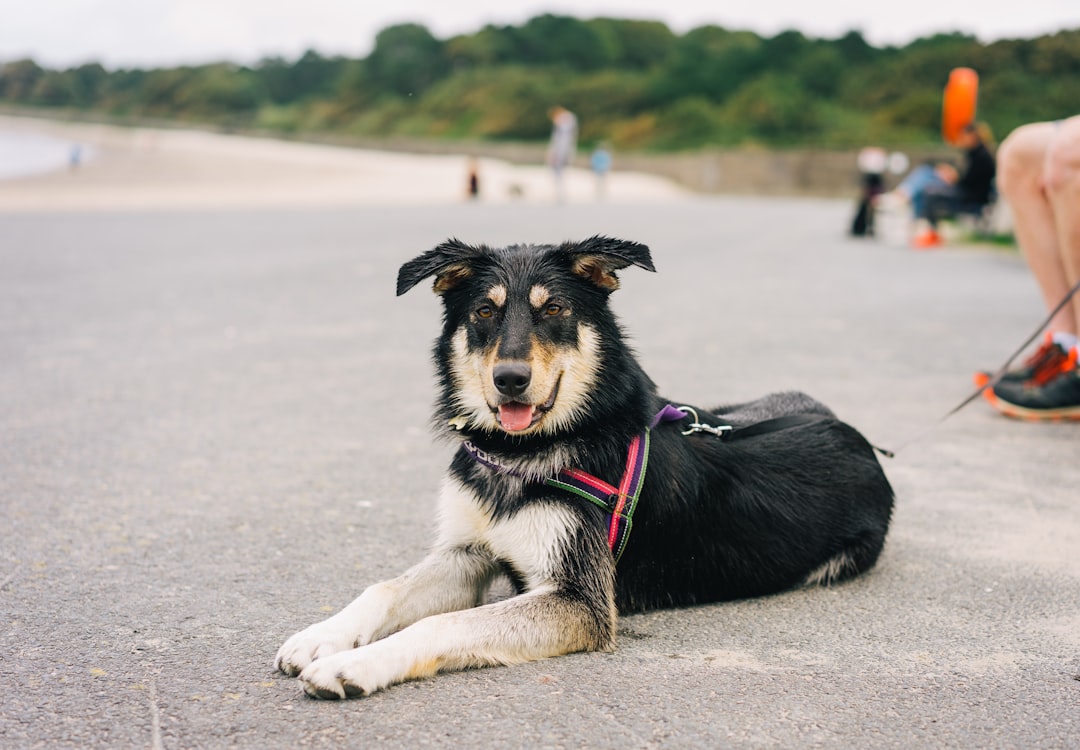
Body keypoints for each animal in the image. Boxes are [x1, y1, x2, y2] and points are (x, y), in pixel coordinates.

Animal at [278, 237, 894, 700]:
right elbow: (383, 589)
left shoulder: (581, 601)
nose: (509, 379)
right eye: (484, 311)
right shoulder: (466, 553)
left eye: (554, 310)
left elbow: (443, 623)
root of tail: (858, 437)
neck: (523, 453)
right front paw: (322, 637)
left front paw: (352, 665)